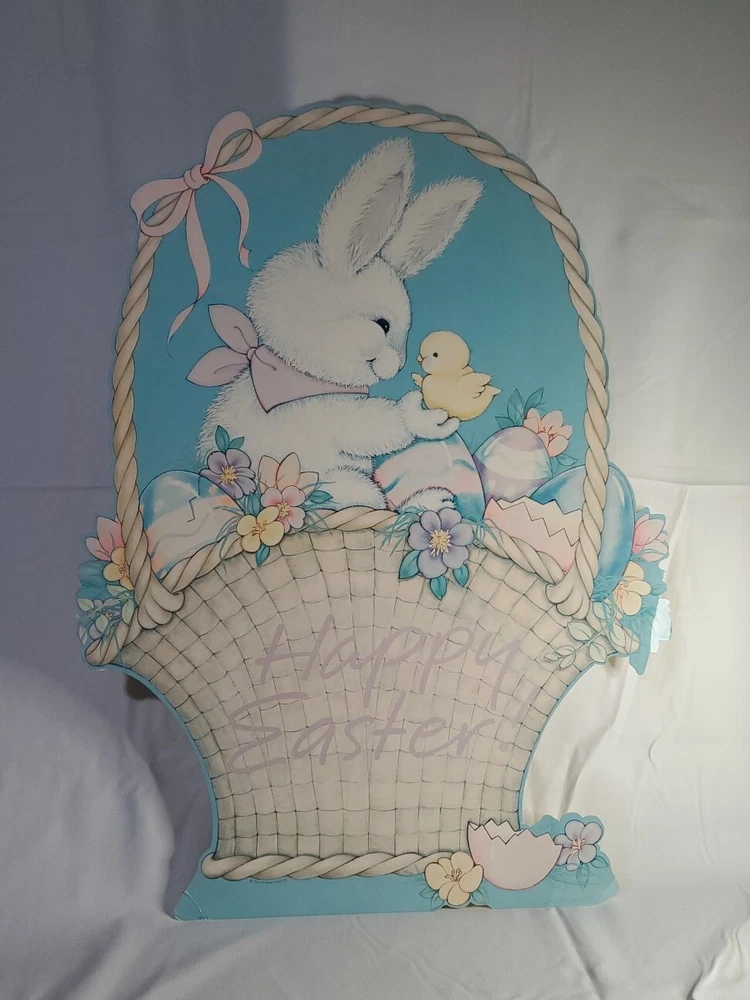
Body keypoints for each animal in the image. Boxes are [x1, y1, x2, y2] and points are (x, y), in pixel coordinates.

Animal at [197, 138, 482, 511]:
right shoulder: (325, 412)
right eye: (382, 324)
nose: (399, 367)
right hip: (335, 487)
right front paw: (425, 418)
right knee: (379, 508)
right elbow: (372, 426)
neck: (299, 372)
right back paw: (430, 501)